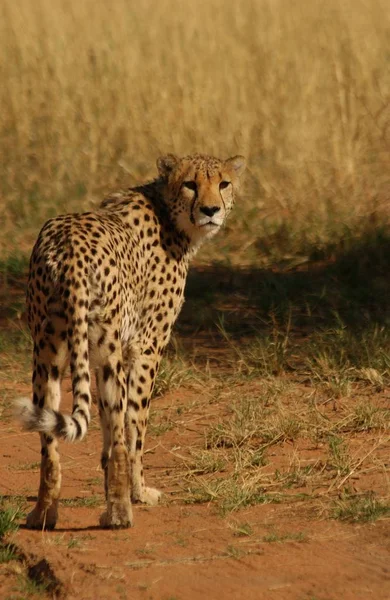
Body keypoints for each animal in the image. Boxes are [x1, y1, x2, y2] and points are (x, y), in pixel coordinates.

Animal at [16, 152, 245, 528]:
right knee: (122, 430)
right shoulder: (145, 347)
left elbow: (109, 435)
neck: (168, 211)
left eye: (223, 183)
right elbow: (135, 425)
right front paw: (138, 491)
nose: (211, 210)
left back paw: (43, 513)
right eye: (190, 183)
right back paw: (121, 513)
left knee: (48, 439)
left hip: (47, 352)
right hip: (108, 353)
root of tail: (67, 246)